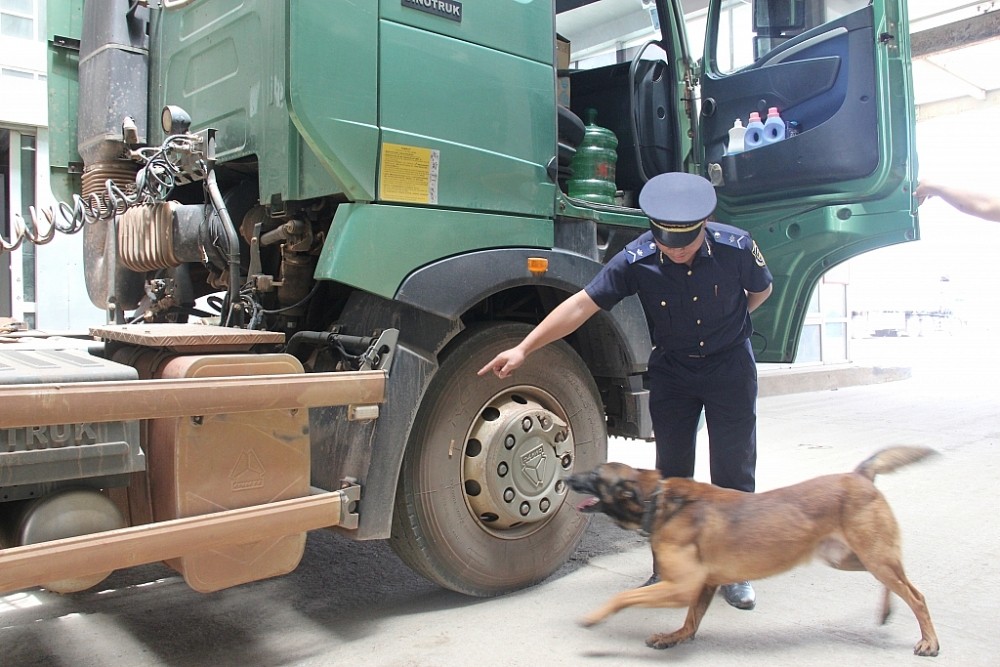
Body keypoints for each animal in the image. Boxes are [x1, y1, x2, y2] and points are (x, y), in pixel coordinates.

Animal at [568, 448, 940, 656]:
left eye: (596, 474)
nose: (567, 478)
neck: (657, 500)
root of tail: (859, 476)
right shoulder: (702, 586)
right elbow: (691, 620)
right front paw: (676, 637)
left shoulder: (682, 587)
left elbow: (623, 596)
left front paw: (595, 616)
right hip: (851, 559)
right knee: (900, 584)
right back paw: (886, 610)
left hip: (874, 557)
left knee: (917, 595)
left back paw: (930, 643)